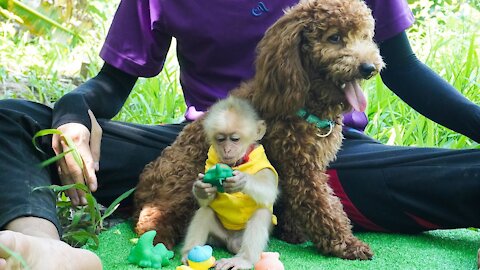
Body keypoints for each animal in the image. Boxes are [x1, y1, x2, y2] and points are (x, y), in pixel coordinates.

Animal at [182, 97, 280, 270]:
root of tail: (230, 240)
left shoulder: (265, 165)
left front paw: (242, 180)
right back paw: (190, 253)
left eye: (235, 139)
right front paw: (201, 189)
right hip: (218, 236)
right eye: (220, 139)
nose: (227, 149)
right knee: (205, 212)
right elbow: (205, 202)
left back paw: (243, 259)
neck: (238, 162)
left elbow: (269, 191)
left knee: (261, 213)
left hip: (240, 240)